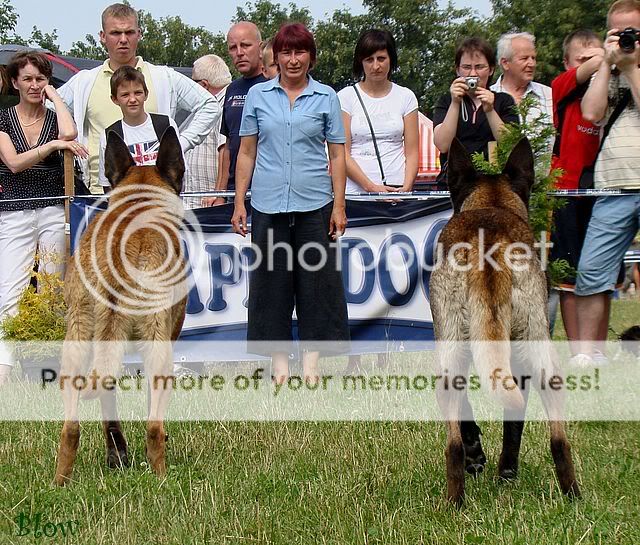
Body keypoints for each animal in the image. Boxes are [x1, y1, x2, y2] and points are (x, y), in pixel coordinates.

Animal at [54, 127, 187, 485]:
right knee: (153, 427)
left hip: (76, 344)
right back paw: (161, 477)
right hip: (159, 351)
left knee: (71, 428)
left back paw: (60, 482)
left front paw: (117, 455)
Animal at [429, 138, 580, 505]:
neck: (493, 204)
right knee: (559, 440)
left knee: (454, 444)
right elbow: (513, 423)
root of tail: (491, 244)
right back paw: (572, 496)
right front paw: (504, 471)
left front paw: (482, 459)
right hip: (541, 352)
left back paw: (456, 500)